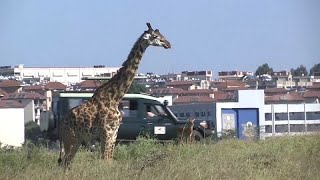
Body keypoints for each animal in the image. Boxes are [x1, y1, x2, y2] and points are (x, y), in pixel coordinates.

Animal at [57, 22, 172, 167]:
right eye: (155, 36)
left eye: (162, 34)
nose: (168, 44)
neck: (115, 97)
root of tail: (61, 125)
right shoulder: (106, 132)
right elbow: (105, 160)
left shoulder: (114, 133)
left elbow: (109, 159)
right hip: (70, 138)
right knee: (64, 162)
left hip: (77, 139)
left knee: (67, 163)